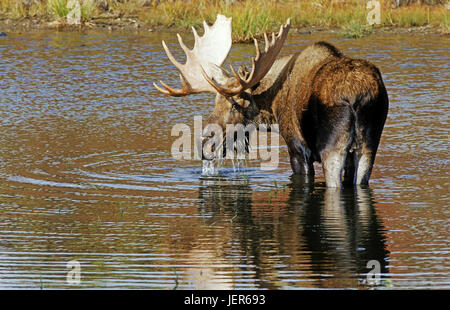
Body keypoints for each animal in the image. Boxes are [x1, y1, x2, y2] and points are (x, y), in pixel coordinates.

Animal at [153, 14, 388, 188]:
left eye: (235, 104)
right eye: (215, 101)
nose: (204, 145)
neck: (272, 109)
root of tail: (358, 96)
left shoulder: (298, 148)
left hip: (333, 148)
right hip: (369, 145)